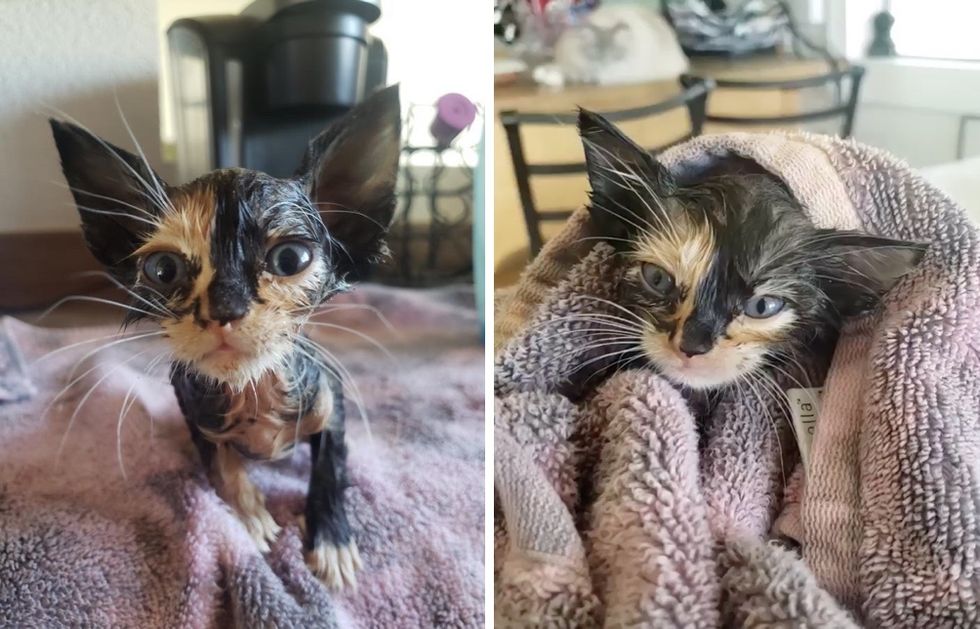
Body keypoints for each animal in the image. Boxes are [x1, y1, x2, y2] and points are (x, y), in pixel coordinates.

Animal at [48, 84, 402, 588]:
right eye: (163, 269)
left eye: (290, 259)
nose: (224, 310)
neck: (254, 390)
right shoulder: (196, 412)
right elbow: (222, 465)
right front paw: (249, 517)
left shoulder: (331, 405)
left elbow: (330, 468)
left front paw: (332, 541)